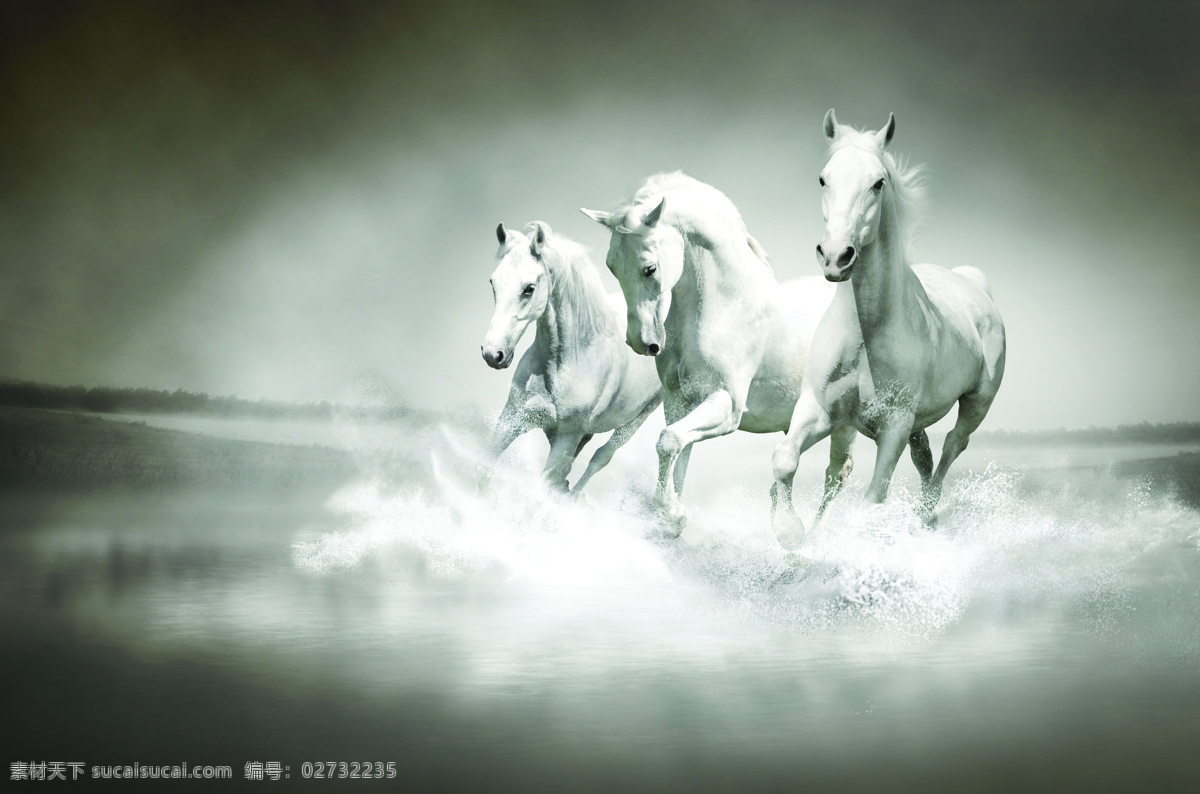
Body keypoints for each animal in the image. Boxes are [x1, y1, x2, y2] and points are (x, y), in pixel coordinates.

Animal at [479, 221, 663, 498]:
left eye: (529, 288)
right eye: (493, 282)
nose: (493, 353)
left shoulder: (567, 438)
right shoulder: (512, 417)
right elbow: (484, 471)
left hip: (638, 418)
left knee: (601, 457)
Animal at [581, 173, 856, 533]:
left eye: (649, 268)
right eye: (611, 266)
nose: (642, 343)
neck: (726, 305)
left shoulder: (727, 405)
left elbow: (668, 442)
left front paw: (674, 513)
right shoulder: (680, 403)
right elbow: (677, 454)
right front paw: (672, 517)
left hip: (844, 423)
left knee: (837, 473)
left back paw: (805, 538)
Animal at [770, 110, 1006, 548]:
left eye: (878, 182)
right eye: (823, 178)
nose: (835, 256)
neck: (866, 333)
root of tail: (974, 285)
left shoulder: (893, 427)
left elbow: (872, 500)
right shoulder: (819, 410)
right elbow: (785, 459)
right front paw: (791, 535)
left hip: (977, 402)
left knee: (953, 445)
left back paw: (926, 516)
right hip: (918, 423)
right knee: (925, 455)